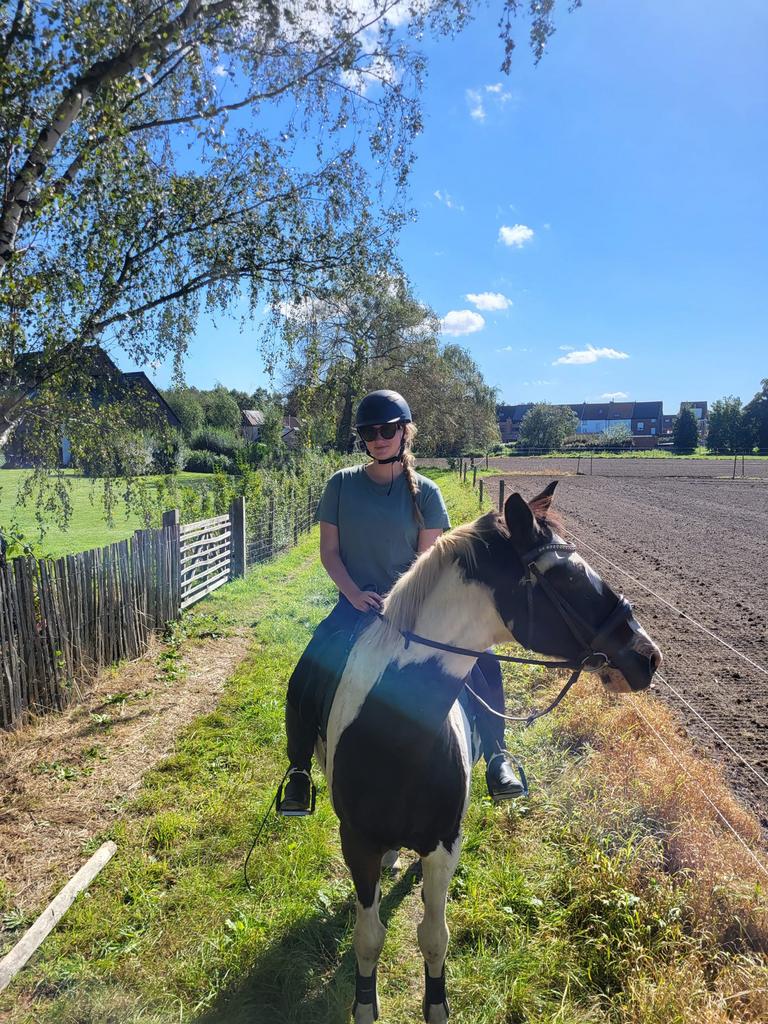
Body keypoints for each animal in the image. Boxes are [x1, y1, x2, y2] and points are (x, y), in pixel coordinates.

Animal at [317, 481, 662, 1023]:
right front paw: (365, 1004)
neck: (394, 738)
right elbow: (368, 937)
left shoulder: (443, 844)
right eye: (566, 575)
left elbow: (433, 937)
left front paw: (437, 1005)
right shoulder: (357, 842)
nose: (648, 657)